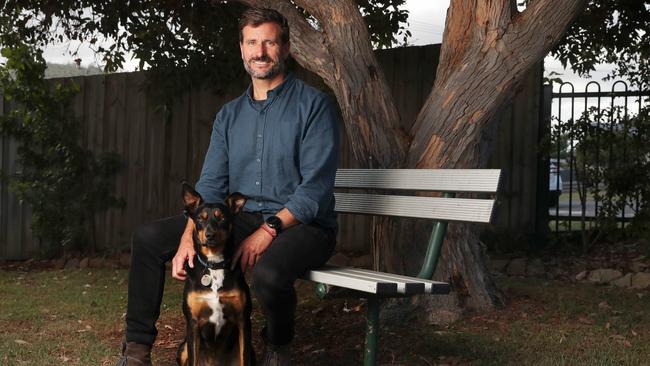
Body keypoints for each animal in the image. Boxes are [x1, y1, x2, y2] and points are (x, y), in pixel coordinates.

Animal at [177, 183, 253, 366]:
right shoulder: (193, 324)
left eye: (222, 217)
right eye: (200, 218)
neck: (214, 265)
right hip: (182, 349)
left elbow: (244, 357)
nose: (210, 235)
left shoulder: (243, 320)